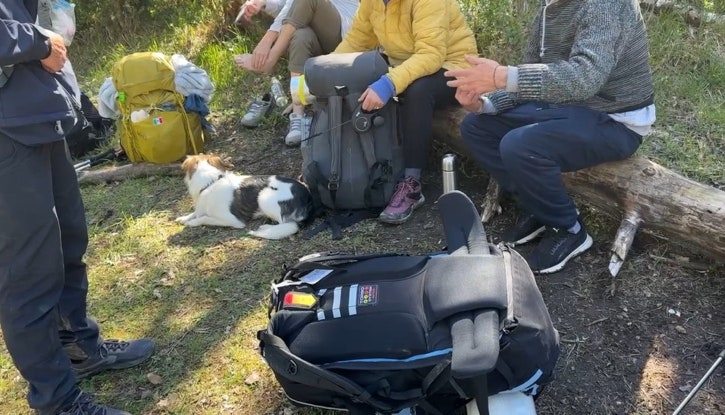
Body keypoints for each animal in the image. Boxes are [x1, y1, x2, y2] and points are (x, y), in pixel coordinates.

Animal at [176, 154, 314, 240]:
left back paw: (266, 228)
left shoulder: (233, 220)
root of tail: (307, 196)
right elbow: (195, 212)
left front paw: (192, 222)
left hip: (263, 197)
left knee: (287, 224)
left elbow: (204, 218)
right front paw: (184, 218)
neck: (211, 182)